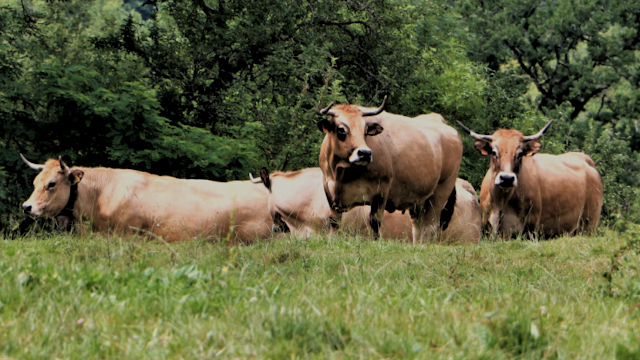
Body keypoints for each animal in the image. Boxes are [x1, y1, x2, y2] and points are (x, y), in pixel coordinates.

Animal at [314, 97, 460, 245]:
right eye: (341, 129)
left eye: (365, 130)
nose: (365, 153)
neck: (342, 174)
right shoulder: (329, 189)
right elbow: (334, 221)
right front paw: (332, 240)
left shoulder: (381, 190)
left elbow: (375, 222)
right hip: (419, 200)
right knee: (418, 226)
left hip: (441, 191)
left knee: (429, 226)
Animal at [458, 121, 604, 239]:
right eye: (494, 152)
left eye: (520, 153)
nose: (507, 178)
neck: (501, 201)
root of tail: (586, 160)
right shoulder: (488, 225)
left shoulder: (530, 226)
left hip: (589, 224)